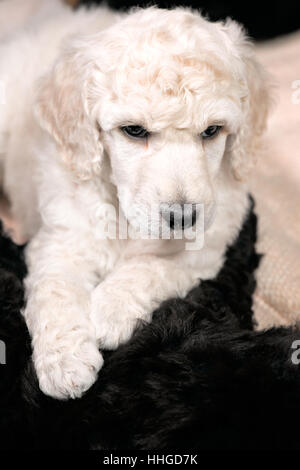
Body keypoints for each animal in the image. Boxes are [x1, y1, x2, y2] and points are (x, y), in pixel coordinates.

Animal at [0, 0, 270, 398]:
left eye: (212, 131)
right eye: (134, 131)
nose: (182, 217)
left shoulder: (208, 248)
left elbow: (152, 267)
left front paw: (108, 310)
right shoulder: (61, 239)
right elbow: (56, 289)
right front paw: (65, 364)